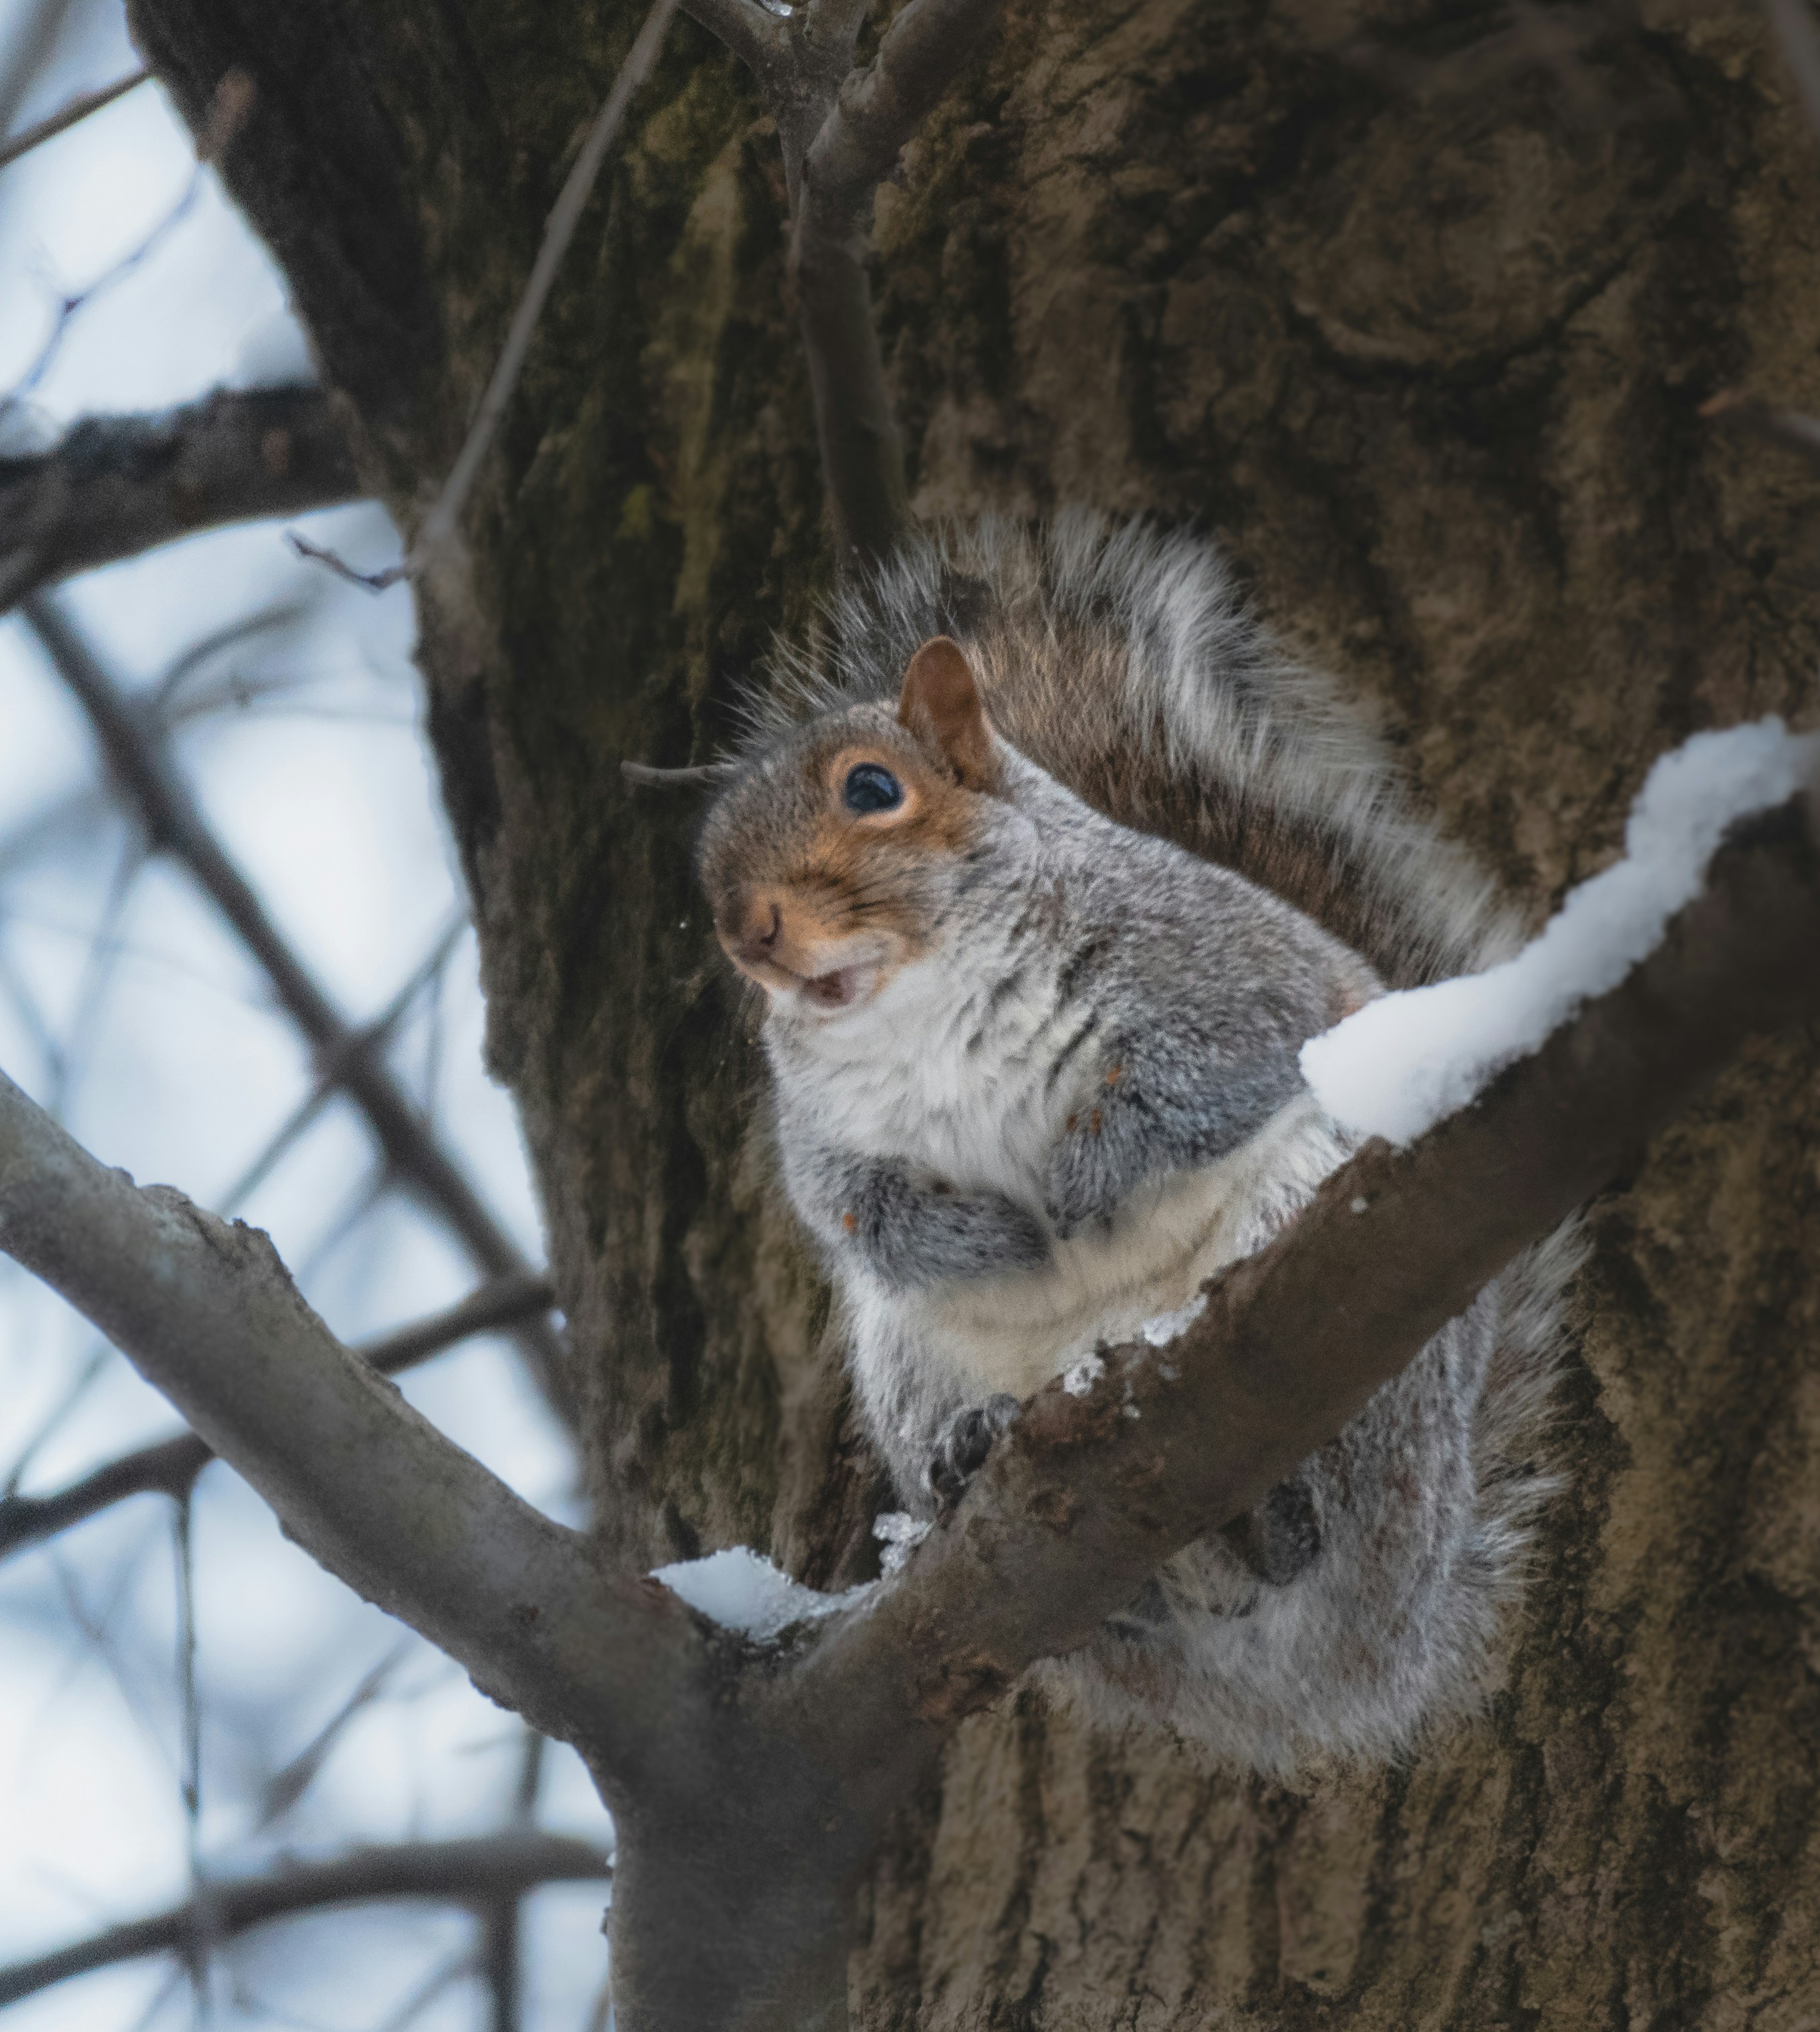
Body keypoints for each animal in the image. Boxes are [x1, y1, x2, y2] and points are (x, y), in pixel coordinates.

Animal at [692, 513, 1581, 1776]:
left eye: (872, 788)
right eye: (707, 857)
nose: (746, 931)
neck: (910, 998)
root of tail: (1353, 1665)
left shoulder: (1228, 979)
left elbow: (1201, 1083)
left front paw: (1077, 1193)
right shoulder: (821, 1132)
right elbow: (853, 1206)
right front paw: (988, 1236)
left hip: (1339, 1301)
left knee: (1313, 1524)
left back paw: (1278, 1517)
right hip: (909, 1365)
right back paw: (981, 1459)